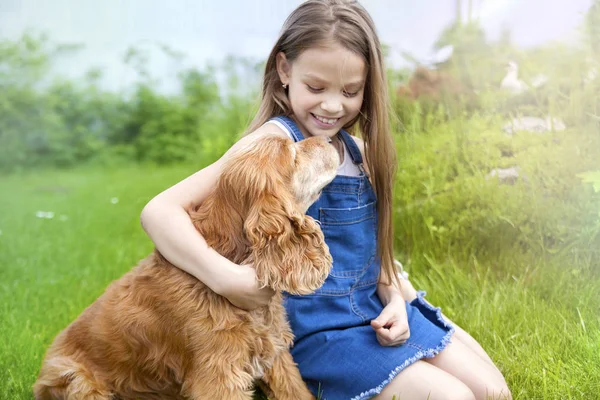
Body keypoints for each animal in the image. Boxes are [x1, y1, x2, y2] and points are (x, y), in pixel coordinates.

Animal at [35, 135, 340, 400]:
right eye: (292, 152)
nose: (329, 138)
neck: (231, 254)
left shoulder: (275, 352)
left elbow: (295, 390)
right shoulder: (219, 374)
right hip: (76, 379)